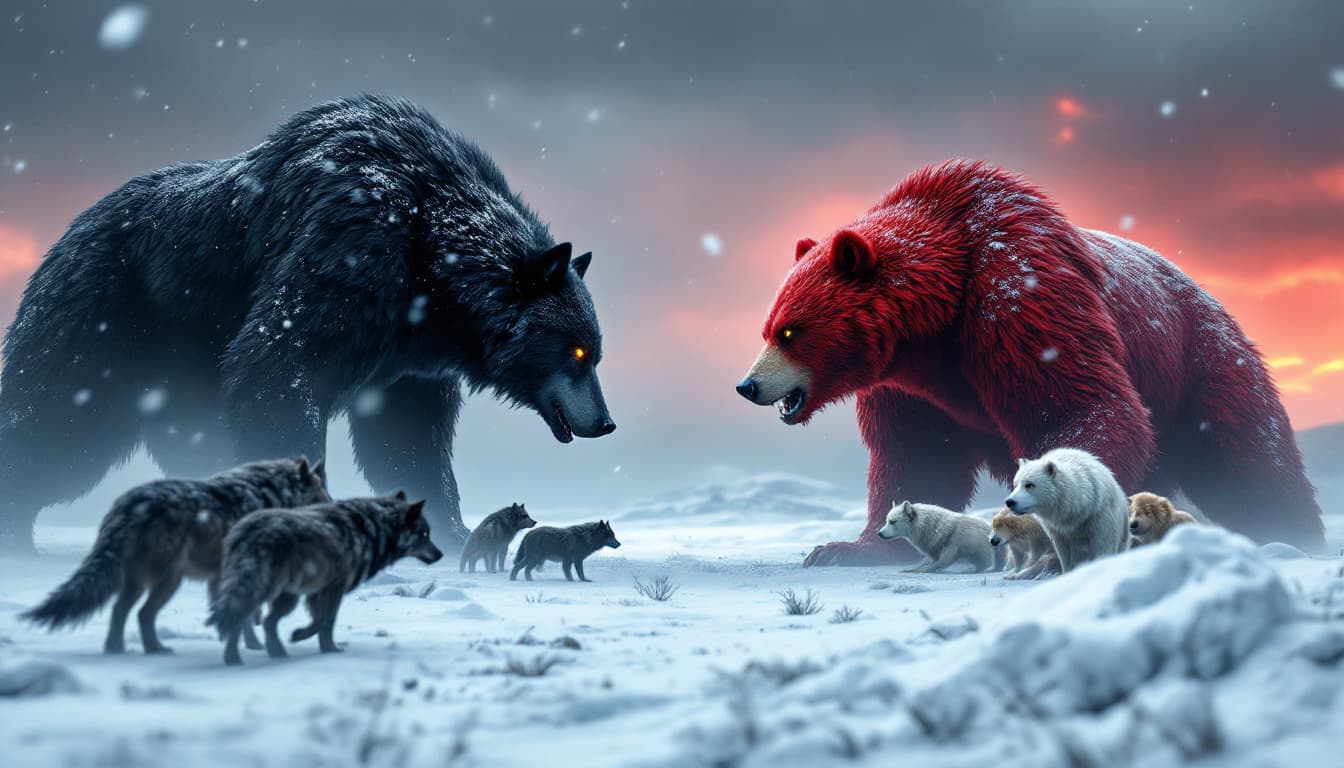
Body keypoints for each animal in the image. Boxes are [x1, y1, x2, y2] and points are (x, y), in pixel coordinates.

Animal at [0, 94, 616, 555]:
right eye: (578, 352)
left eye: (595, 352)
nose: (606, 422)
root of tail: (68, 230)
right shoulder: (351, 248)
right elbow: (278, 367)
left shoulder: (404, 359)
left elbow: (408, 435)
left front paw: (450, 526)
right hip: (110, 318)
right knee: (56, 416)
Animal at [21, 458, 330, 654]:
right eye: (321, 493)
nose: (331, 507)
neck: (268, 494)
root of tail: (126, 508)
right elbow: (246, 617)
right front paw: (254, 646)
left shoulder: (218, 580)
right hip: (169, 582)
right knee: (142, 614)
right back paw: (154, 650)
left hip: (139, 584)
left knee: (120, 611)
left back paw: (118, 650)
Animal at [207, 493, 442, 666]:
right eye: (425, 534)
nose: (440, 554)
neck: (370, 530)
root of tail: (248, 531)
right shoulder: (334, 588)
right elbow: (325, 622)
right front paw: (325, 648)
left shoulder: (316, 593)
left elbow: (321, 621)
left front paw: (321, 647)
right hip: (273, 593)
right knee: (250, 620)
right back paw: (247, 658)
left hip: (285, 597)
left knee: (262, 622)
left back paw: (258, 657)